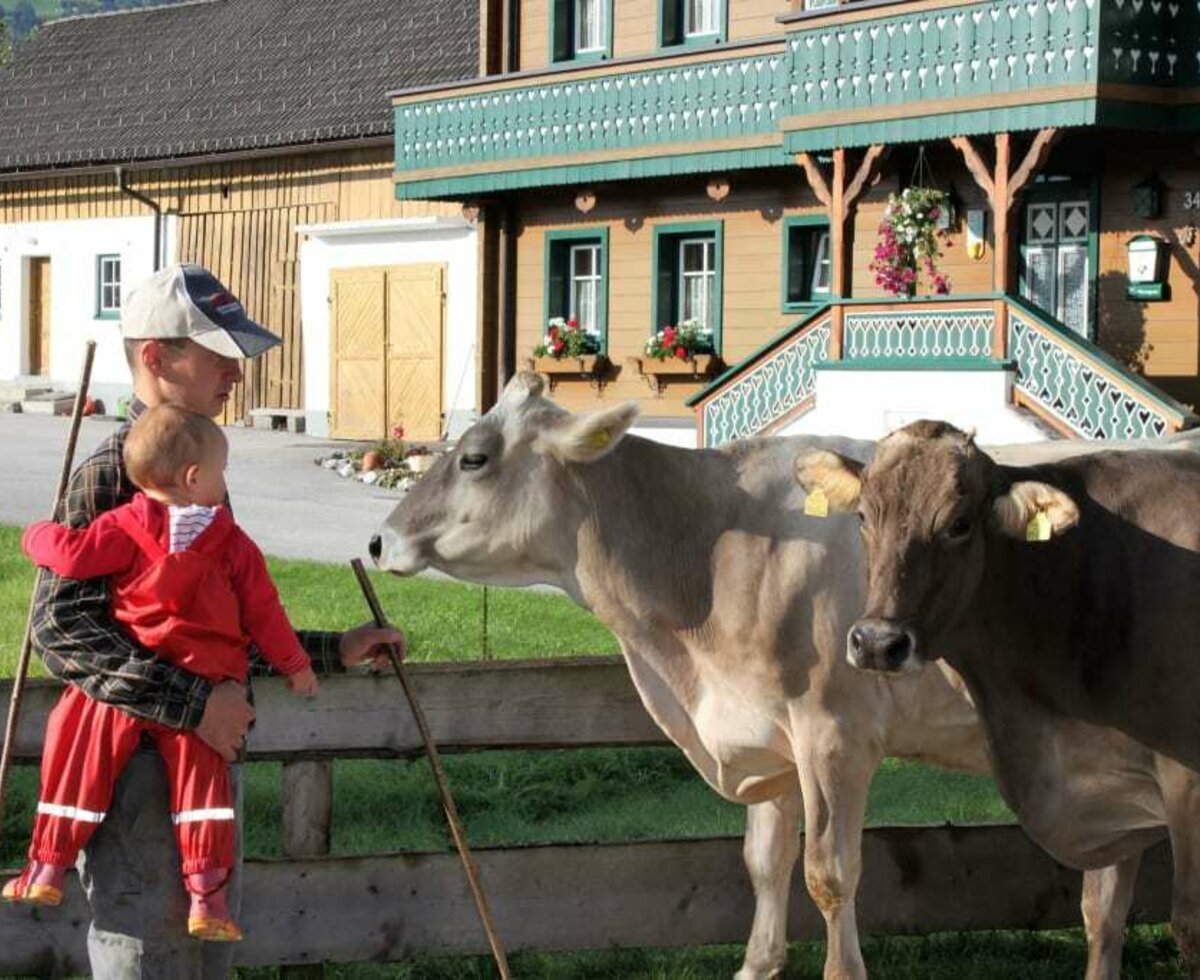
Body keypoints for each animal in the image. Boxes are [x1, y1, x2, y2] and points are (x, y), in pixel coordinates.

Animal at [374, 376, 1142, 978]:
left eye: (474, 457)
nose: (380, 541)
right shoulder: (767, 736)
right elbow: (764, 863)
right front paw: (758, 962)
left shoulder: (835, 734)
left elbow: (829, 874)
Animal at [796, 419, 1200, 969]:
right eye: (862, 515)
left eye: (959, 523)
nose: (877, 643)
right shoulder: (1109, 791)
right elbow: (1103, 917)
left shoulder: (1186, 783)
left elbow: (1188, 927)